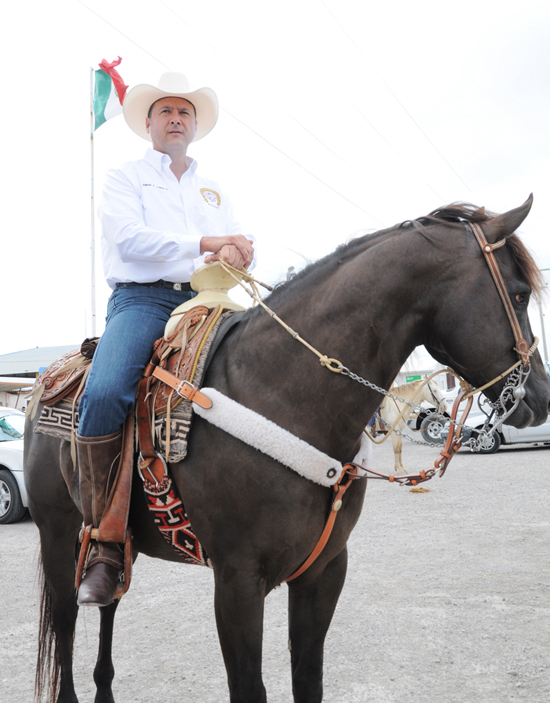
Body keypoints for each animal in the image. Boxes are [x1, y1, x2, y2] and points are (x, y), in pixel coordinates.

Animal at [23, 195, 550, 700]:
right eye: (519, 294)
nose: (541, 396)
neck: (280, 391)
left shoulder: (324, 571)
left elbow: (308, 680)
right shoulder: (236, 581)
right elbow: (249, 688)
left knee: (108, 604)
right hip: (58, 534)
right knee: (66, 625)